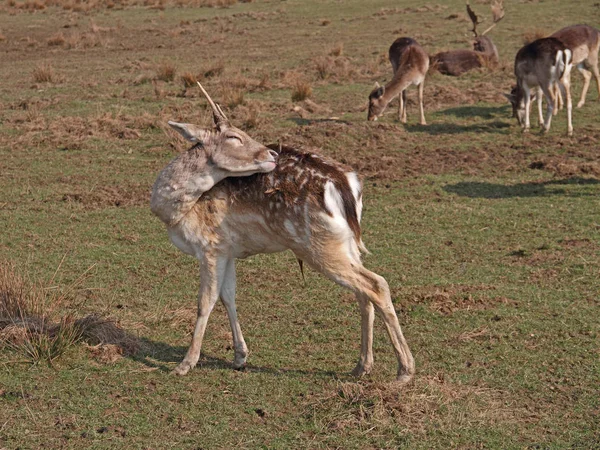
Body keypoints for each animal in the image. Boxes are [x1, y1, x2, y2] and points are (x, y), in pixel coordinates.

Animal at [152, 82, 418, 382]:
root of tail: (346, 184)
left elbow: (205, 302)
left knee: (376, 284)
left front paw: (185, 363)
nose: (272, 154)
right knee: (363, 292)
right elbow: (228, 296)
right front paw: (240, 356)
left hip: (317, 244)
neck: (176, 210)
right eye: (234, 136)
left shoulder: (209, 246)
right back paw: (362, 365)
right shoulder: (227, 249)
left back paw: (404, 370)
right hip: (346, 242)